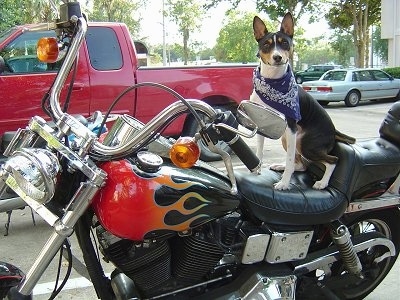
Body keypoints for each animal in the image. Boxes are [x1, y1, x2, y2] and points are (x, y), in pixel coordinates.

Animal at [248, 12, 354, 190]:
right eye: (266, 44)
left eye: (285, 43)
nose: (277, 57)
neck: (273, 82)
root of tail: (334, 131)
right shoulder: (262, 123)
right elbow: (260, 151)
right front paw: (257, 169)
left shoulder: (291, 127)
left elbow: (290, 159)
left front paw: (284, 183)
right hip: (289, 139)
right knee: (301, 165)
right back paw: (281, 166)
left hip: (305, 143)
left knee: (332, 160)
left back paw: (322, 183)